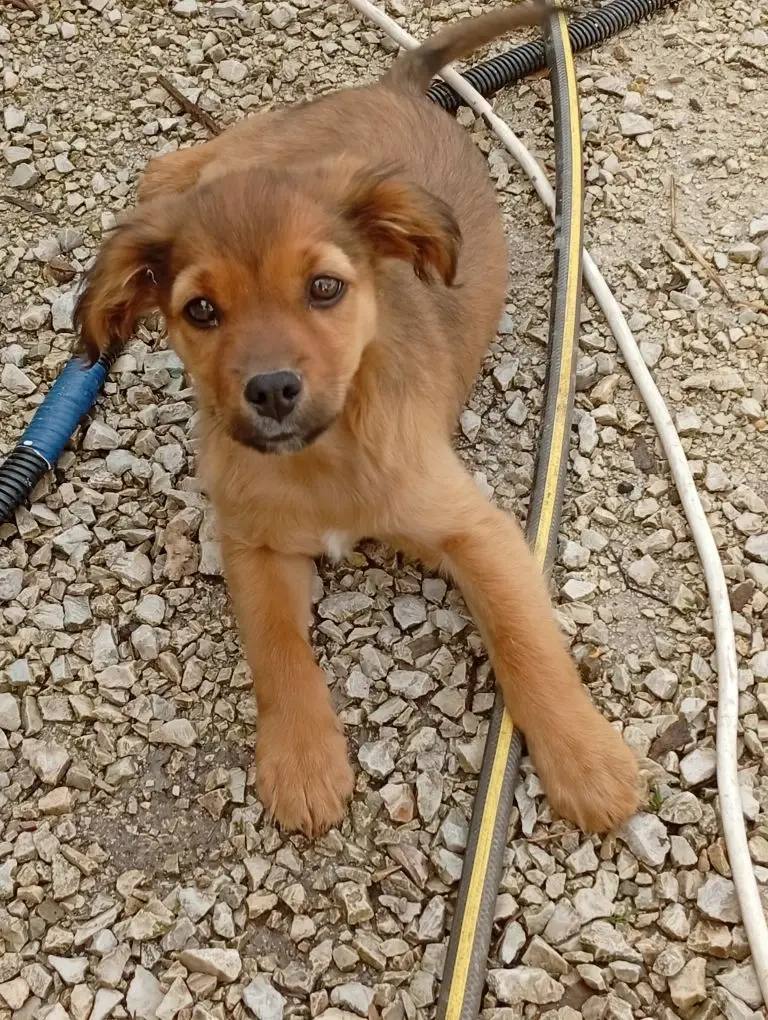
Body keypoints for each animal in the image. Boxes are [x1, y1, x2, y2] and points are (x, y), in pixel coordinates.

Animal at [75, 3, 640, 836]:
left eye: (324, 288)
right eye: (201, 311)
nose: (273, 390)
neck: (324, 458)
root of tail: (399, 88)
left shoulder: (476, 530)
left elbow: (526, 638)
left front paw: (584, 757)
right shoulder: (251, 542)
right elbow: (276, 649)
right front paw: (302, 761)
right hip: (267, 145)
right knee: (199, 152)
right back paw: (163, 184)